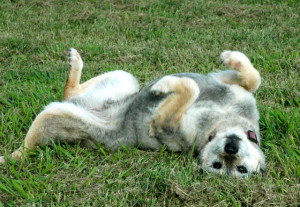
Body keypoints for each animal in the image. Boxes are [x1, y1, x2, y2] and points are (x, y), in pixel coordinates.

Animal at [0, 49, 268, 178]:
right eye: (219, 164)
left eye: (239, 170)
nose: (231, 148)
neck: (219, 124)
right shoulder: (227, 83)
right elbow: (253, 78)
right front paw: (232, 57)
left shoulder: (162, 123)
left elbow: (188, 89)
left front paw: (165, 85)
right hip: (123, 77)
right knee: (70, 90)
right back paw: (74, 61)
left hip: (55, 116)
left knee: (24, 149)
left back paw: (9, 158)